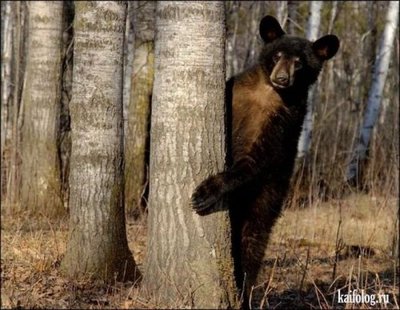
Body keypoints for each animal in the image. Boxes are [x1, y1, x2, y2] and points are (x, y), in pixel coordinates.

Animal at [190, 15, 338, 306]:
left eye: (299, 62)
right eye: (277, 54)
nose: (282, 78)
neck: (268, 94)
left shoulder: (281, 124)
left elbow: (253, 160)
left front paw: (205, 192)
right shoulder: (235, 93)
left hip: (265, 202)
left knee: (252, 245)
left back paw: (243, 292)